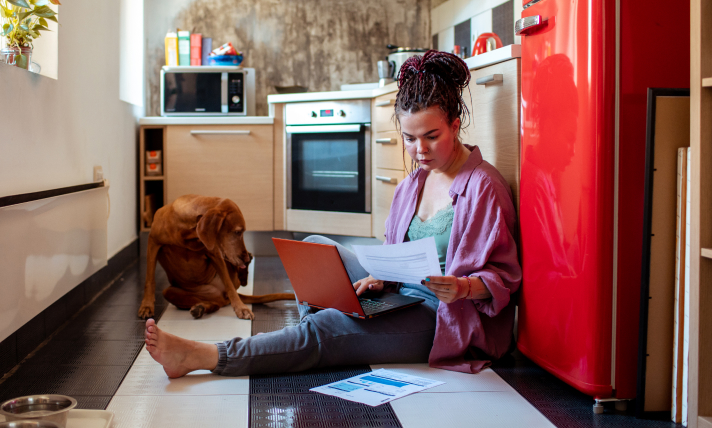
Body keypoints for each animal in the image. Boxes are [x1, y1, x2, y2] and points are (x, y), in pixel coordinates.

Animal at [138, 196, 294, 320]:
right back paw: (201, 307)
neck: (187, 233)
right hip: (170, 292)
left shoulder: (214, 253)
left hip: (229, 265)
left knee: (231, 289)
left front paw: (241, 308)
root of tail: (220, 296)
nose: (244, 258)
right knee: (215, 304)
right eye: (238, 232)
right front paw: (146, 306)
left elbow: (229, 285)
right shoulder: (153, 243)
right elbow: (149, 279)